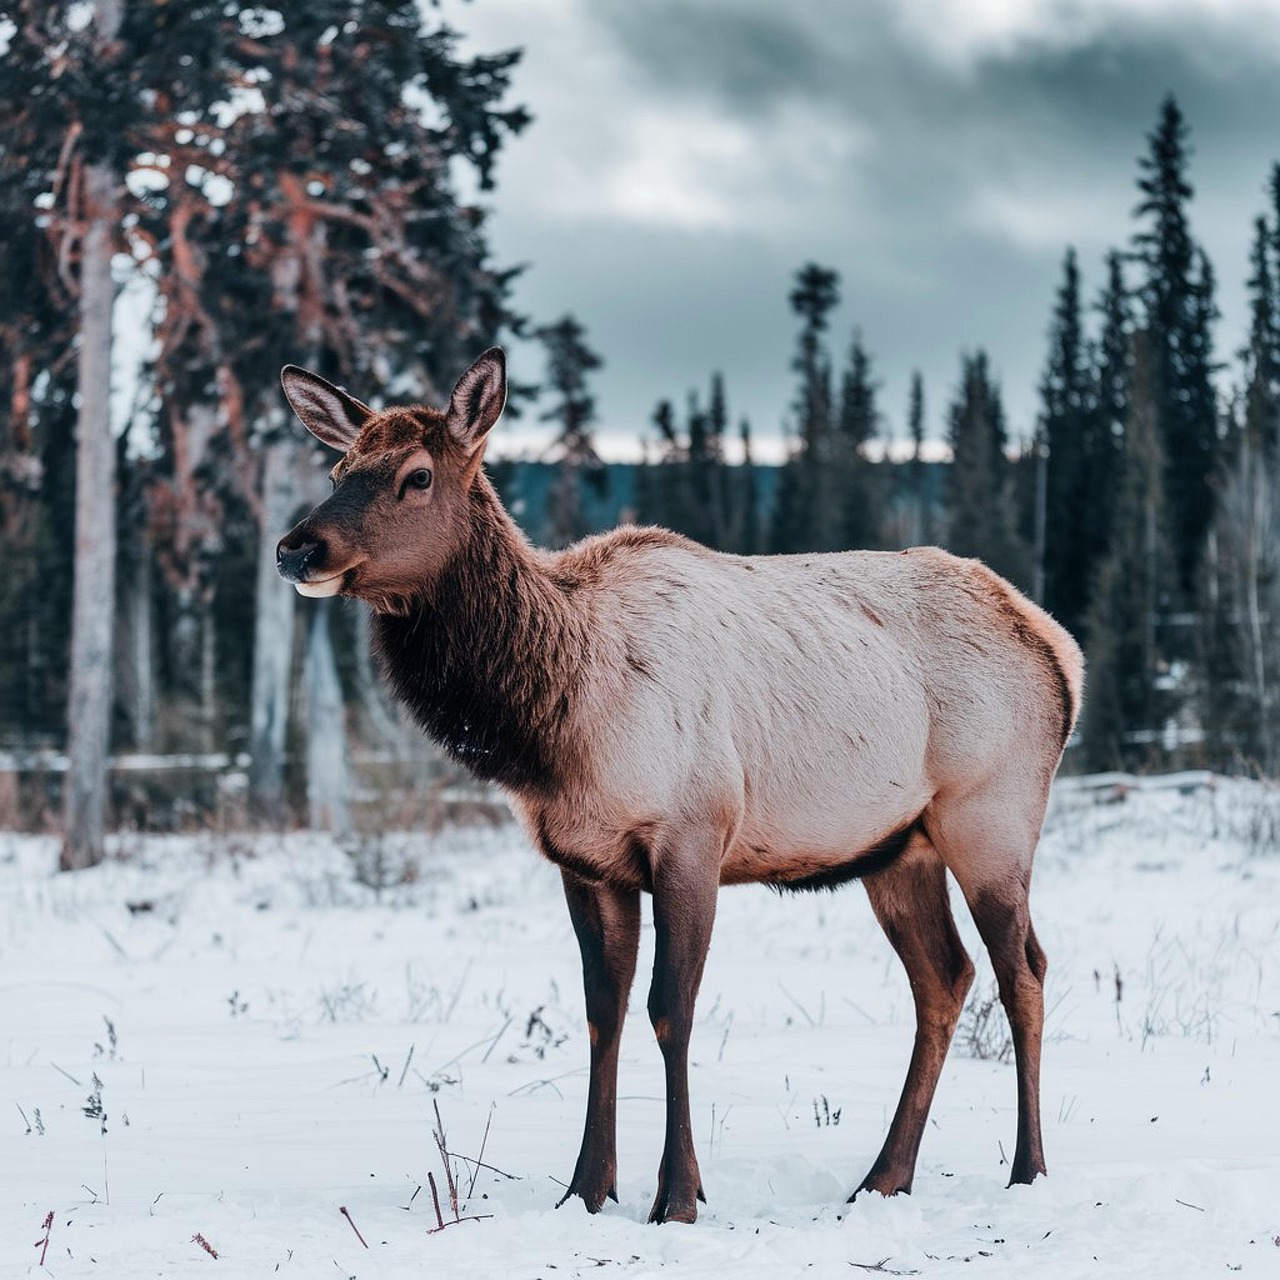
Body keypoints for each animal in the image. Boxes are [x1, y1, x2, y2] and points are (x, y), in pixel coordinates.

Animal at [275, 348, 1083, 1225]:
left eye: (416, 475)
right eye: (338, 468)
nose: (295, 548)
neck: (558, 721)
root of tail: (1059, 651)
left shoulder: (693, 833)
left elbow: (672, 1008)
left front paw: (678, 1196)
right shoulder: (584, 859)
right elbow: (602, 1012)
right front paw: (587, 1189)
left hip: (991, 818)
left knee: (1022, 970)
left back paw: (1029, 1170)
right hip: (898, 848)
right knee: (944, 977)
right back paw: (883, 1177)